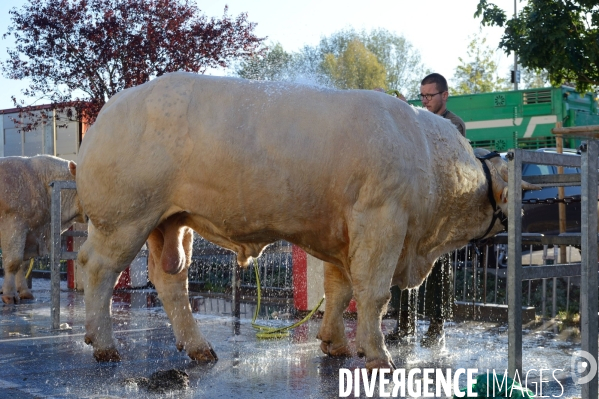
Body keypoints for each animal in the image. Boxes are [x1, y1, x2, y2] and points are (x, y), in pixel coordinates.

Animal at [0, 155, 85, 304]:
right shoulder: (13, 226)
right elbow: (13, 262)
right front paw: (9, 294)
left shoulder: (30, 234)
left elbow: (24, 264)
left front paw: (24, 292)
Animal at [74, 73, 540, 370]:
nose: (523, 214)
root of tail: (114, 105)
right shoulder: (381, 222)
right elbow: (373, 294)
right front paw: (377, 354)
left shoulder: (345, 235)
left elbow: (340, 290)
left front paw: (336, 343)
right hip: (124, 219)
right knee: (98, 269)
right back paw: (105, 346)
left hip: (171, 222)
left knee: (171, 280)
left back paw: (198, 347)